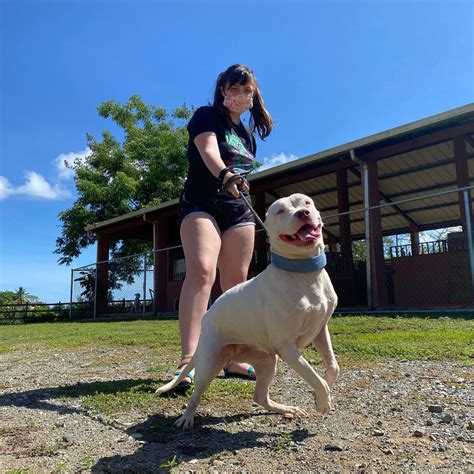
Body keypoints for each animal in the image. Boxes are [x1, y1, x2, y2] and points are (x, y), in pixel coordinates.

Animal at [157, 193, 338, 430]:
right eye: (280, 211)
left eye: (306, 202)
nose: (303, 213)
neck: (303, 273)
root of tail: (207, 317)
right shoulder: (286, 346)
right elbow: (313, 375)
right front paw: (323, 400)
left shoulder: (320, 331)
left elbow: (332, 367)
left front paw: (320, 395)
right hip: (209, 364)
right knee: (196, 394)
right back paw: (187, 417)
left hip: (267, 361)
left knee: (260, 397)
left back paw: (285, 409)